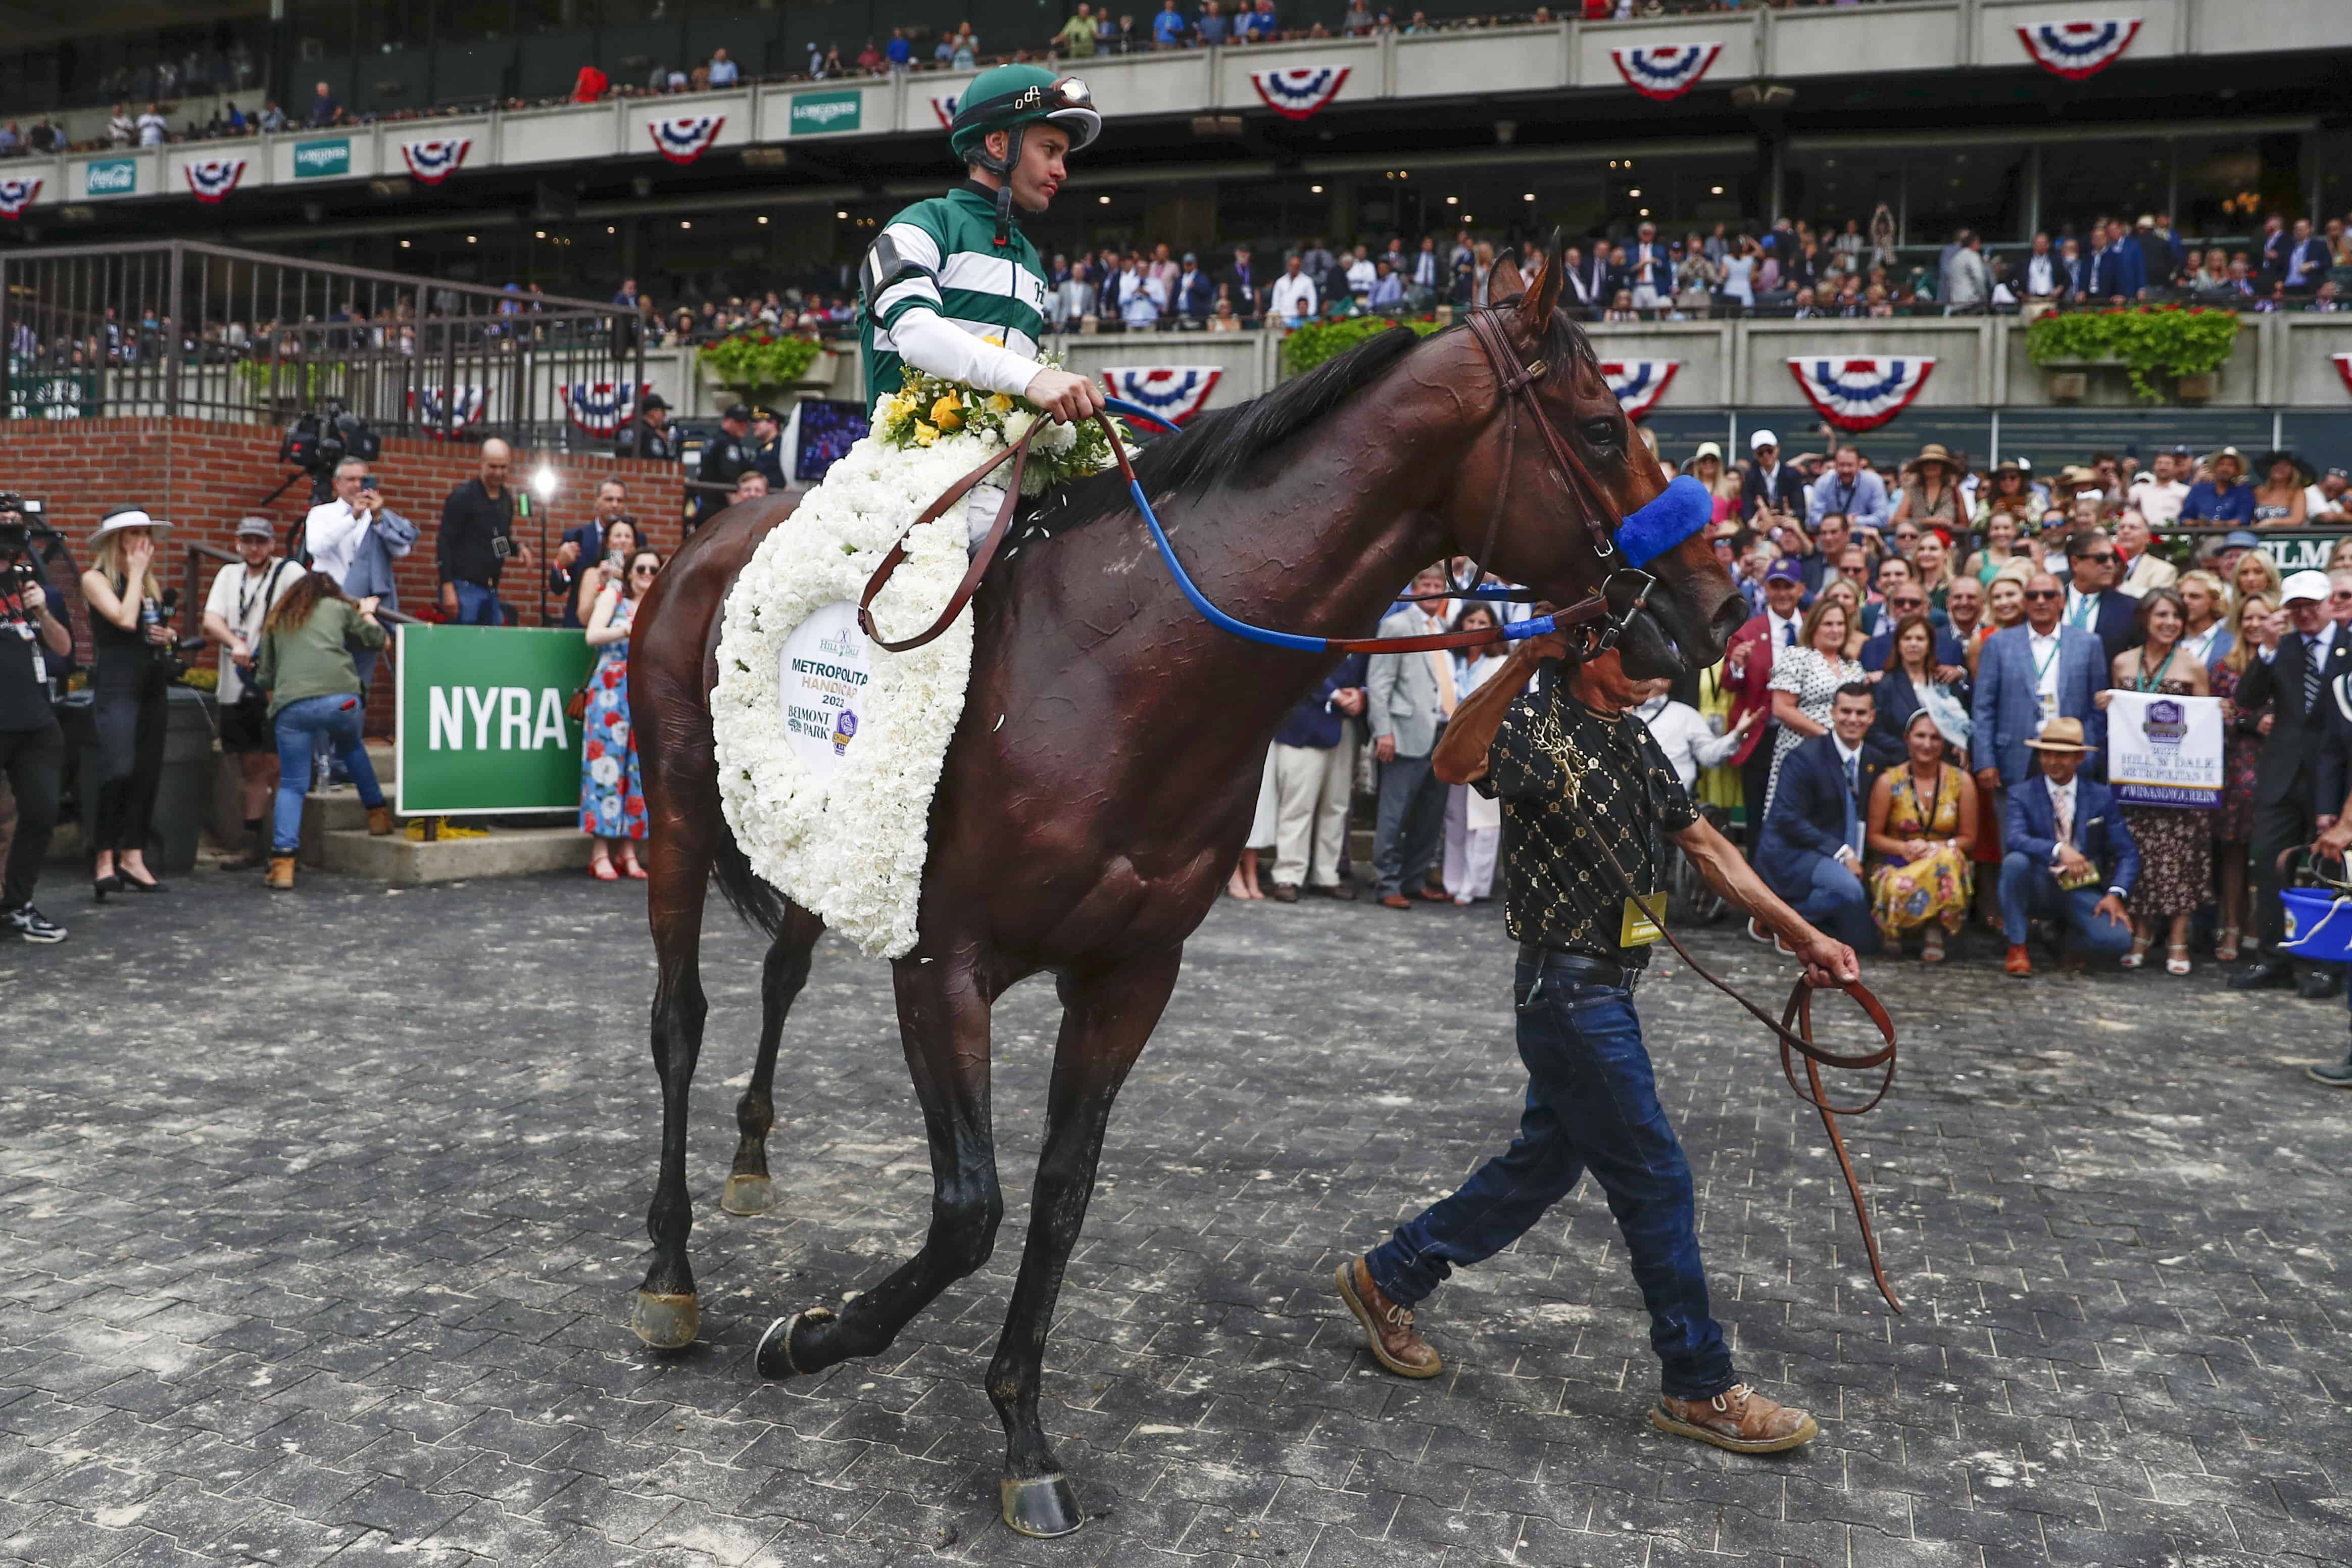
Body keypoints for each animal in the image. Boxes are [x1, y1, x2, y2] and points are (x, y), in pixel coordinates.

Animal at [621, 251, 1750, 1542]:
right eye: (1606, 427)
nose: (1722, 606)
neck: (1116, 666)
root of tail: (709, 531)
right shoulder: (945, 962)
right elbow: (968, 1208)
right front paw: (811, 1337)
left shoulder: (1131, 972)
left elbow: (1060, 1193)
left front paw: (1022, 1429)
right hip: (676, 811)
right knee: (680, 1019)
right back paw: (669, 1276)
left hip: (821, 837)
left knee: (782, 973)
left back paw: (752, 1160)